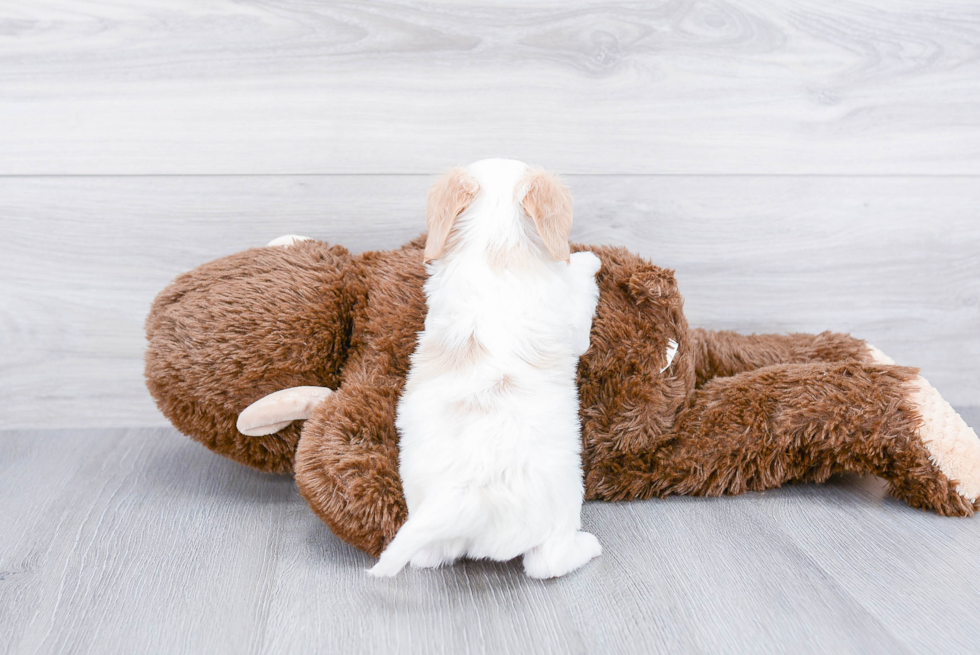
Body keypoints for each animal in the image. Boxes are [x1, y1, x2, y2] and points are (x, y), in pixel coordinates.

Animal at [368, 159, 600, 580]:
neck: (495, 239)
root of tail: (464, 498)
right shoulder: (573, 323)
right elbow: (581, 288)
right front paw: (588, 259)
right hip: (561, 507)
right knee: (546, 563)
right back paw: (588, 546)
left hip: (426, 524)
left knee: (427, 557)